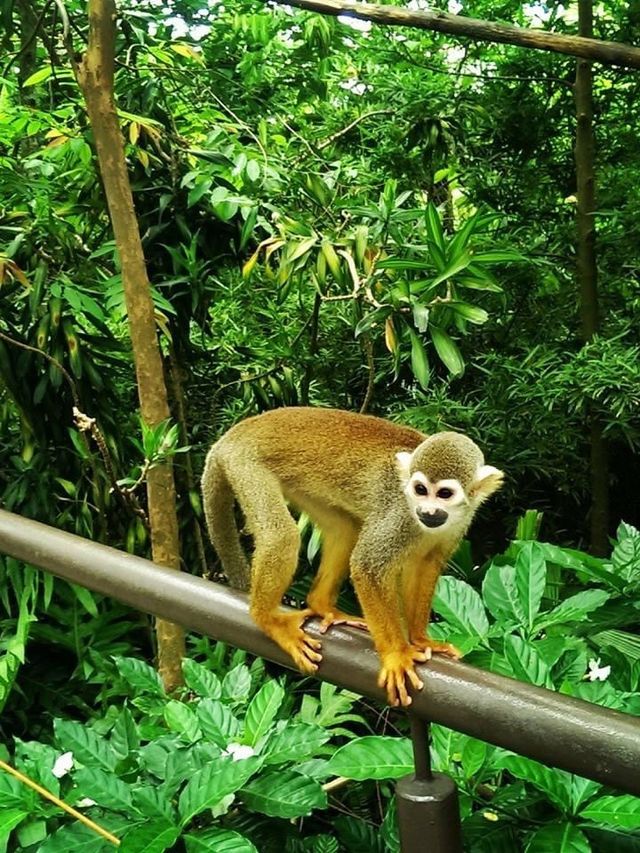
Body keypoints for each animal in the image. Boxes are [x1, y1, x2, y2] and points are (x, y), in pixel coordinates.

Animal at [202, 406, 502, 704]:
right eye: (420, 490)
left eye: (444, 494)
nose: (427, 511)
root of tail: (239, 429)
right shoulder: (399, 514)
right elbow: (368, 565)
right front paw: (396, 655)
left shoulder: (461, 522)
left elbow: (426, 565)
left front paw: (420, 639)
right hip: (247, 466)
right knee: (282, 536)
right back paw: (267, 618)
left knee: (345, 530)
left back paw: (321, 604)